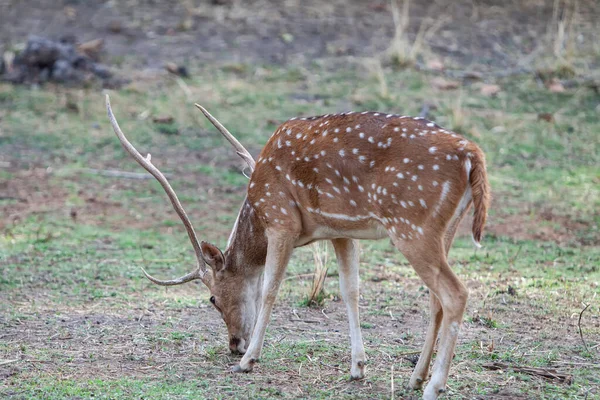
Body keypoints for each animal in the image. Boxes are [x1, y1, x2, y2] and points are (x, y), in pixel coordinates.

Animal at [105, 94, 490, 400]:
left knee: (455, 293)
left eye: (212, 299)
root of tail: (472, 153)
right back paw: (415, 378)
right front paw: (357, 367)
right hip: (444, 230)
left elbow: (271, 289)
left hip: (412, 226)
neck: (257, 207)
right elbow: (350, 290)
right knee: (436, 300)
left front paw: (249, 361)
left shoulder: (282, 222)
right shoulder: (341, 231)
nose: (233, 344)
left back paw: (434, 386)